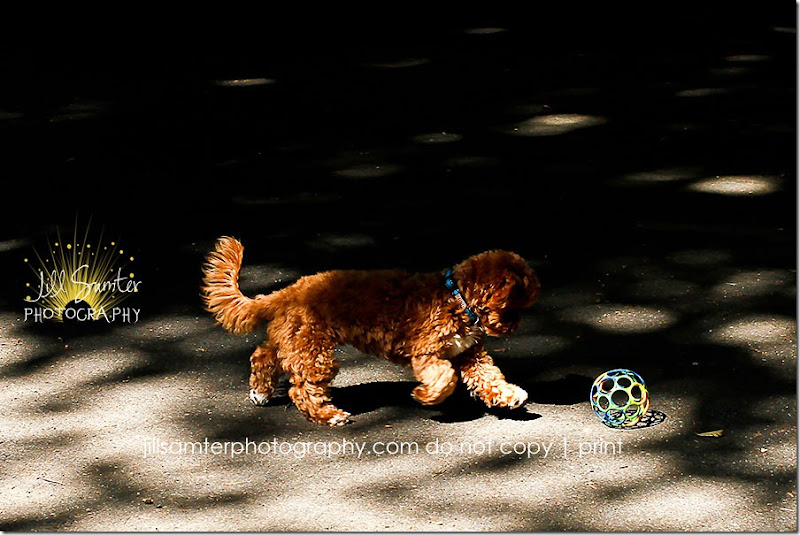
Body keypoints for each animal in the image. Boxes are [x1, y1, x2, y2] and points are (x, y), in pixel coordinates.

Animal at [201, 237, 541, 426]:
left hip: (294, 339)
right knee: (302, 389)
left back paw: (260, 391)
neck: (455, 296)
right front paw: (425, 396)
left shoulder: (469, 353)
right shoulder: (429, 351)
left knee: (263, 355)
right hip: (314, 351)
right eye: (514, 305)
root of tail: (288, 292)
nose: (514, 326)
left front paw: (510, 397)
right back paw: (329, 416)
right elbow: (445, 378)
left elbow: (490, 378)